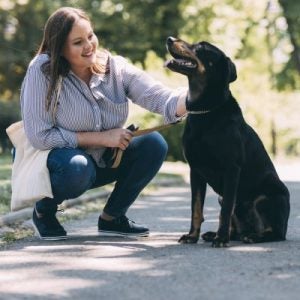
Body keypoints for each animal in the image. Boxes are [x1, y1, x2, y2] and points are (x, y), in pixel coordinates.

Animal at [165, 37, 290, 246]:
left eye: (201, 47)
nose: (170, 39)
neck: (204, 110)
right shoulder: (195, 170)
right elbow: (196, 209)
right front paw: (192, 236)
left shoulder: (231, 168)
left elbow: (225, 212)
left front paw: (221, 238)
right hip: (221, 197)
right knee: (237, 225)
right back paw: (218, 234)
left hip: (269, 195)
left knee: (275, 231)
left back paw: (252, 236)